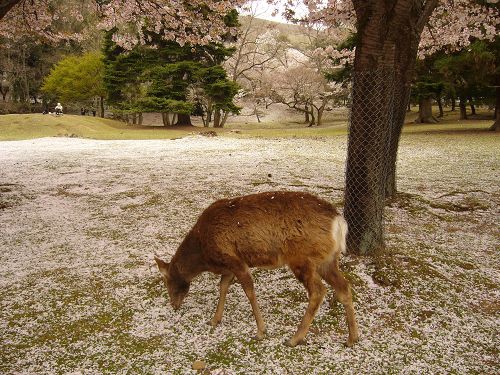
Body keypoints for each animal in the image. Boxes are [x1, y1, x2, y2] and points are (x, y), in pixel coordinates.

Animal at [154, 192, 358, 348]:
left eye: (168, 282)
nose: (173, 304)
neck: (205, 255)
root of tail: (339, 222)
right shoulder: (228, 266)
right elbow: (223, 287)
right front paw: (215, 320)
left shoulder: (235, 261)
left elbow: (249, 291)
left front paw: (261, 331)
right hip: (328, 260)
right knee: (344, 286)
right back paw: (352, 338)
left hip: (302, 258)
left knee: (318, 290)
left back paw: (294, 338)